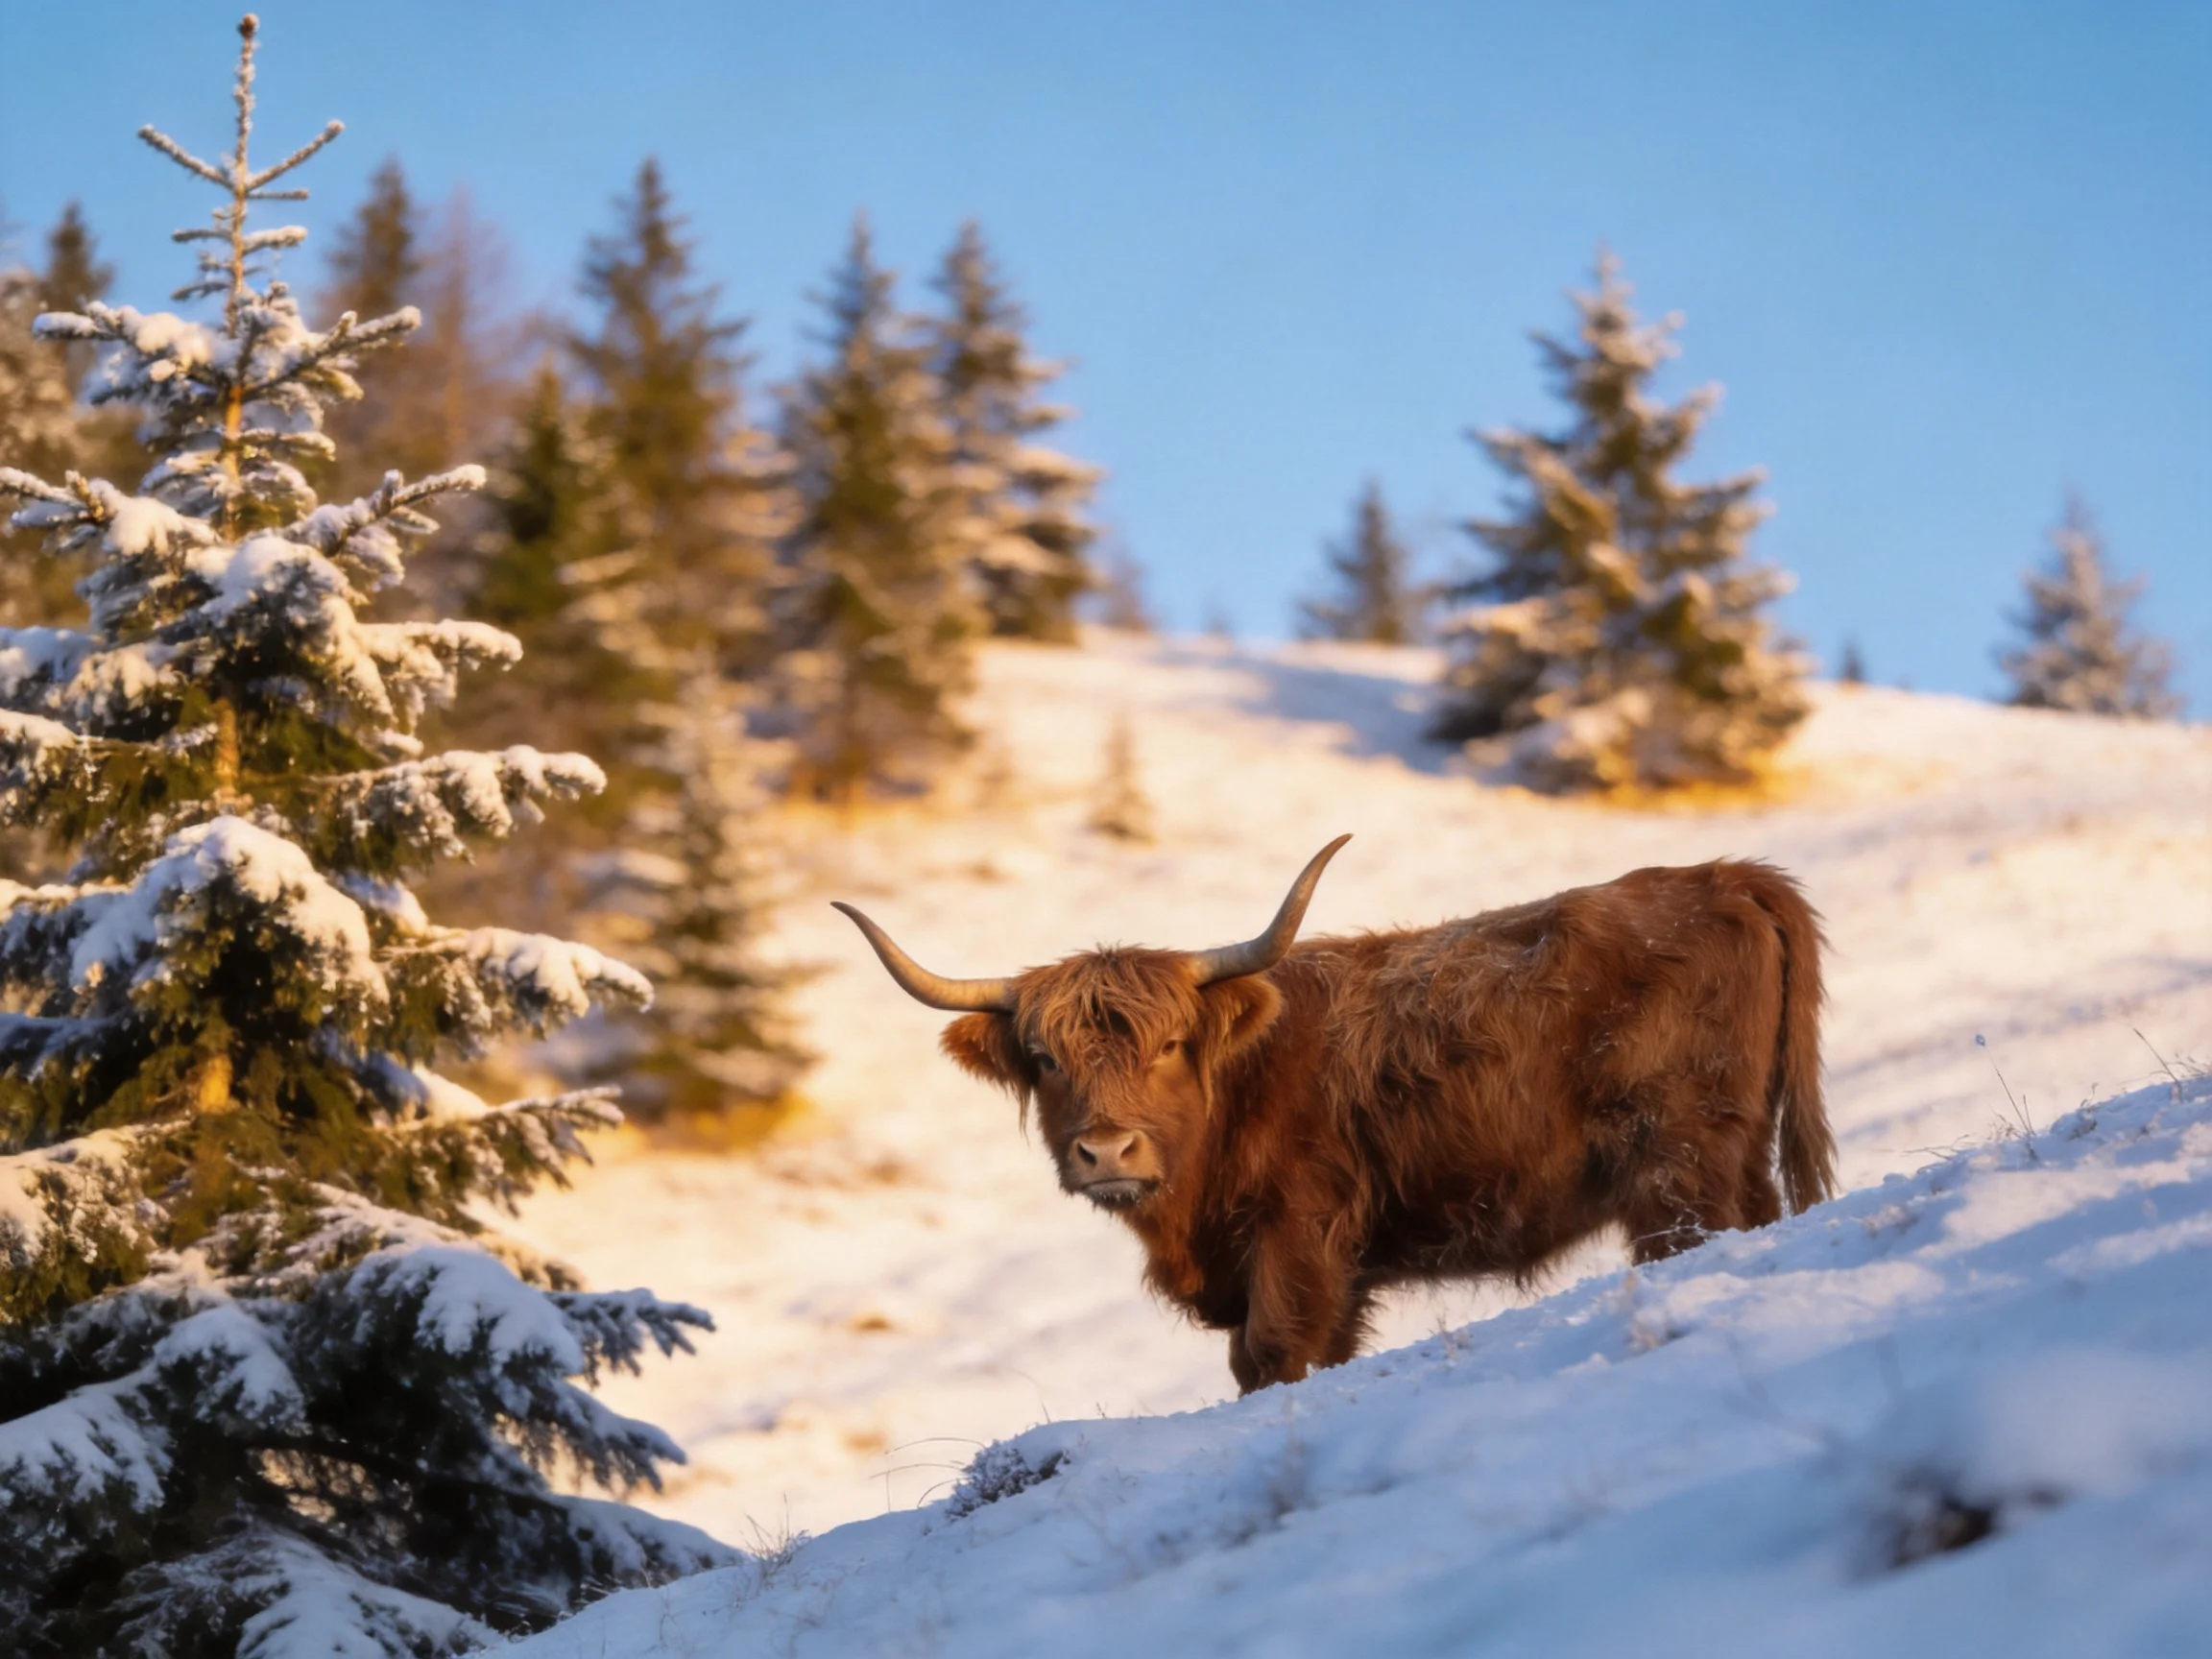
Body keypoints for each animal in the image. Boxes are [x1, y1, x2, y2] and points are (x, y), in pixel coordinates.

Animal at [834, 836, 1835, 1394]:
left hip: (1676, 1160)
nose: (1107, 1149)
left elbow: (1277, 1356)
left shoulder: (1301, 1238)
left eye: (1170, 1045)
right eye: (1045, 1059)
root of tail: (1726, 875)